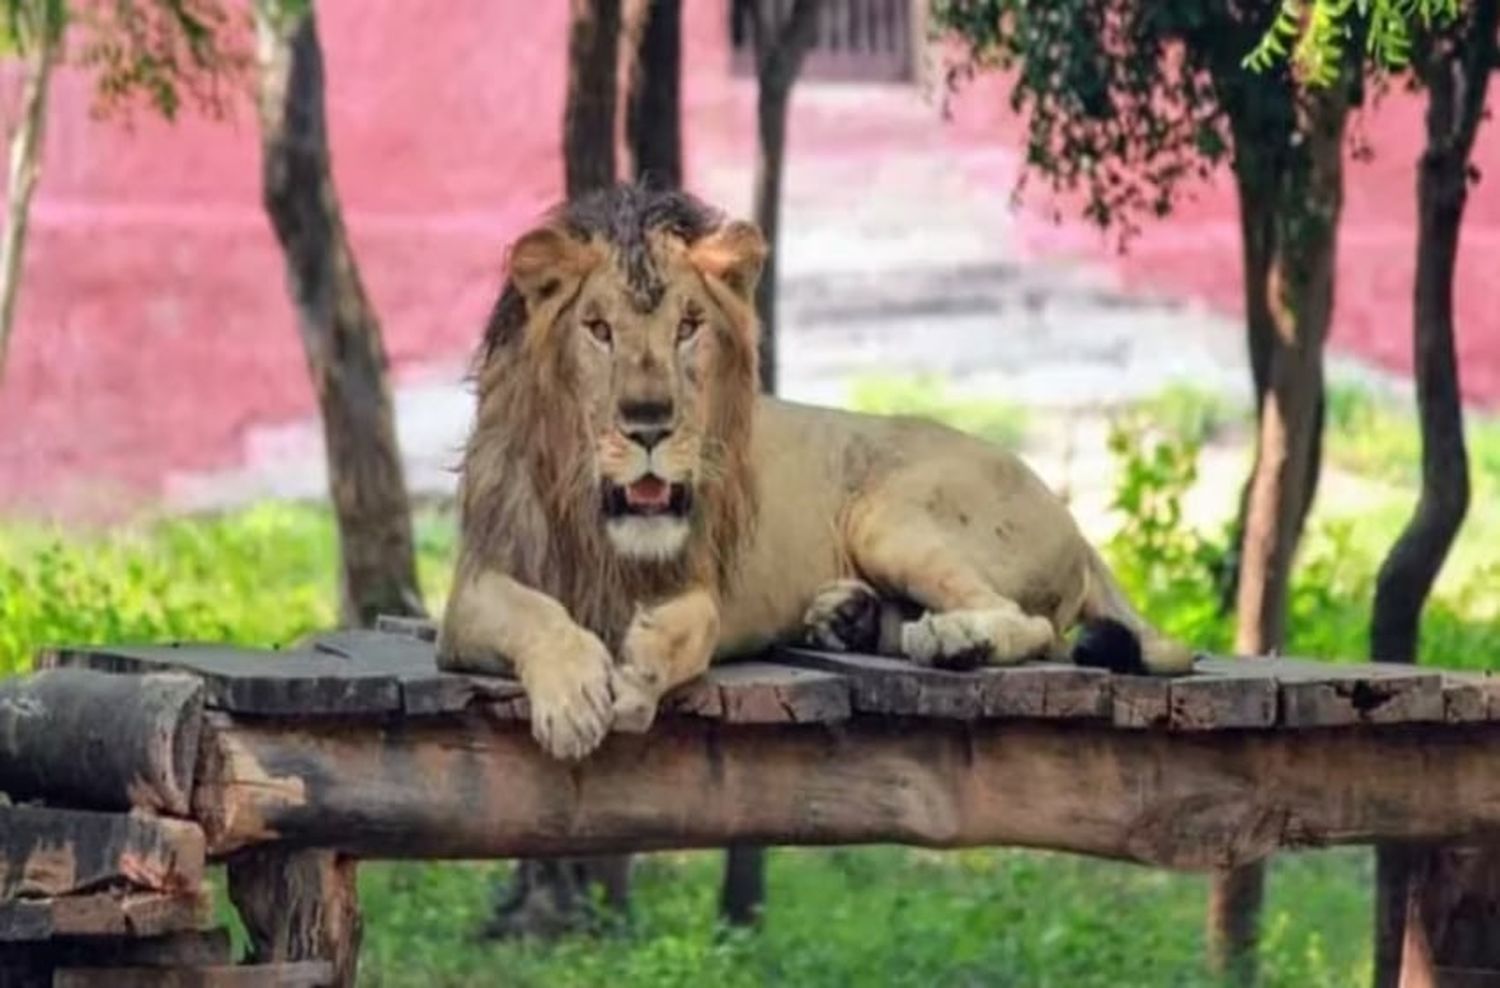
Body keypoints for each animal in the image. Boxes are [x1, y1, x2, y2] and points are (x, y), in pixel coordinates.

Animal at [438, 181, 1194, 761]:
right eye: (597, 329)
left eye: (689, 326)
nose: (650, 423)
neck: (600, 524)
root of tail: (1073, 521)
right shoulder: (470, 592)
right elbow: (535, 612)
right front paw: (572, 698)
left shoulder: (701, 581)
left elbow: (693, 623)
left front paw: (640, 668)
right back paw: (851, 619)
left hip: (890, 516)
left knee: (1029, 624)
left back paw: (950, 640)